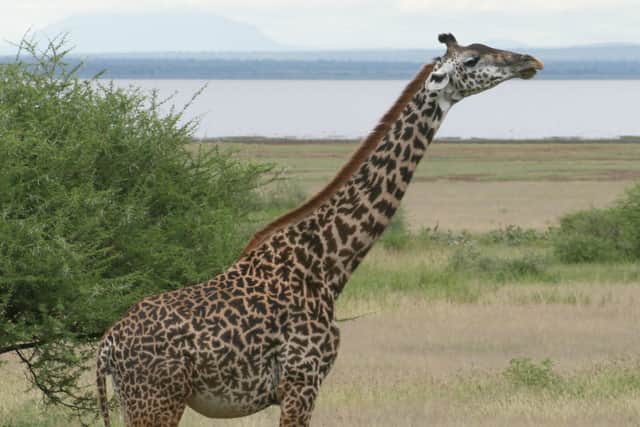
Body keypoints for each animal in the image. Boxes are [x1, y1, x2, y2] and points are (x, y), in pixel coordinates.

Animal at [96, 33, 543, 427]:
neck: (327, 265)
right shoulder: (302, 382)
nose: (530, 61)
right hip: (155, 400)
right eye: (471, 59)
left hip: (142, 401)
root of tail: (107, 345)